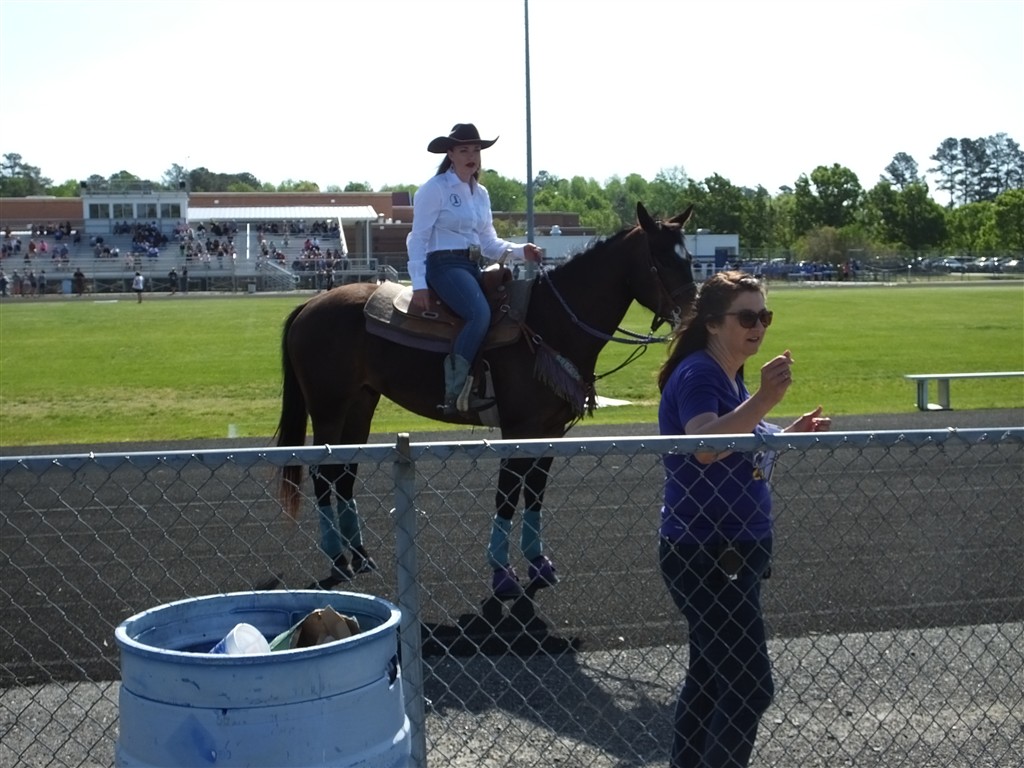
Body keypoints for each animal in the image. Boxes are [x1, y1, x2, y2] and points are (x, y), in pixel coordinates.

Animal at [276, 202, 697, 598]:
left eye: (690, 258)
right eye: (660, 260)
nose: (693, 314)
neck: (548, 323)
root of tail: (310, 305)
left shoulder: (551, 430)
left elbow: (535, 493)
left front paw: (538, 563)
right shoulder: (518, 428)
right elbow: (507, 495)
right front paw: (502, 573)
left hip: (361, 405)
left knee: (344, 475)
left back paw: (360, 554)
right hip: (329, 409)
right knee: (322, 475)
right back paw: (337, 557)